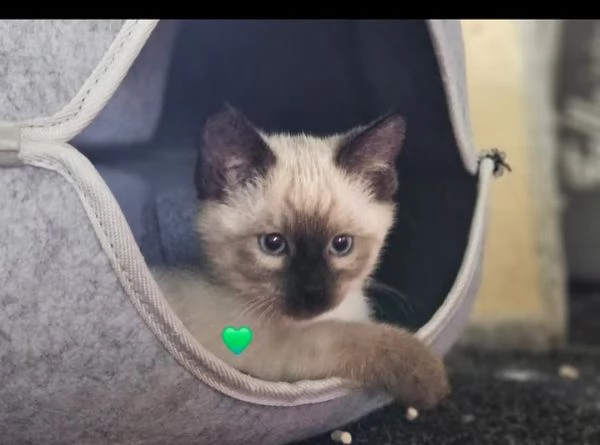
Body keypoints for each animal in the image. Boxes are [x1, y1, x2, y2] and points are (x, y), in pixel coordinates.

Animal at [155, 106, 450, 408]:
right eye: (273, 244)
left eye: (341, 244)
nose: (313, 292)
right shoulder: (273, 348)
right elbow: (351, 334)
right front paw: (432, 375)